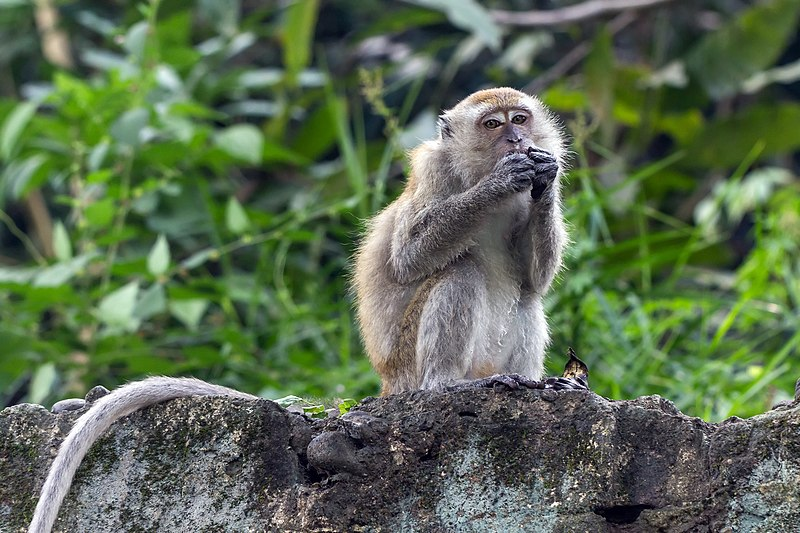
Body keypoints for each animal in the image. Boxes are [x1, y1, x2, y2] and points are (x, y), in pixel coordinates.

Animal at [354, 86, 572, 394]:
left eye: (519, 119)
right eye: (492, 124)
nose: (516, 139)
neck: (473, 174)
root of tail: (389, 382)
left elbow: (534, 280)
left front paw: (546, 175)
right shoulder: (432, 170)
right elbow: (407, 258)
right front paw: (498, 183)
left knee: (527, 296)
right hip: (408, 369)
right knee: (461, 271)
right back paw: (446, 381)